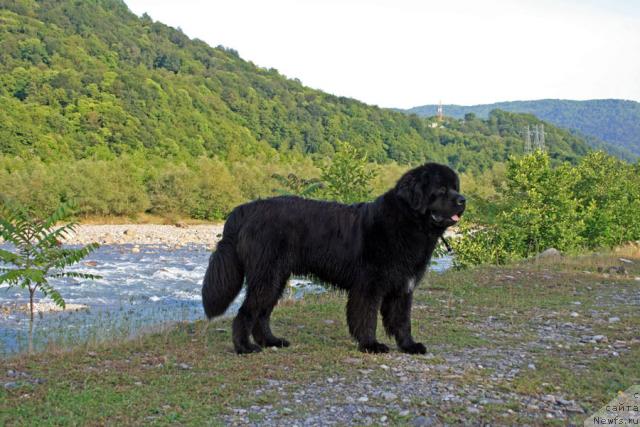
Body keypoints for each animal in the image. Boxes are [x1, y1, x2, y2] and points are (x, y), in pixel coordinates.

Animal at [204, 163, 464, 354]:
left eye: (455, 187)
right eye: (441, 189)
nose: (463, 200)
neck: (407, 223)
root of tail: (247, 209)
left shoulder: (402, 288)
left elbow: (402, 321)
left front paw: (409, 346)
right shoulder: (369, 286)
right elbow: (366, 318)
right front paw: (371, 345)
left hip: (276, 278)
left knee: (262, 314)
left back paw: (271, 341)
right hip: (266, 276)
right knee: (246, 313)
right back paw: (244, 347)